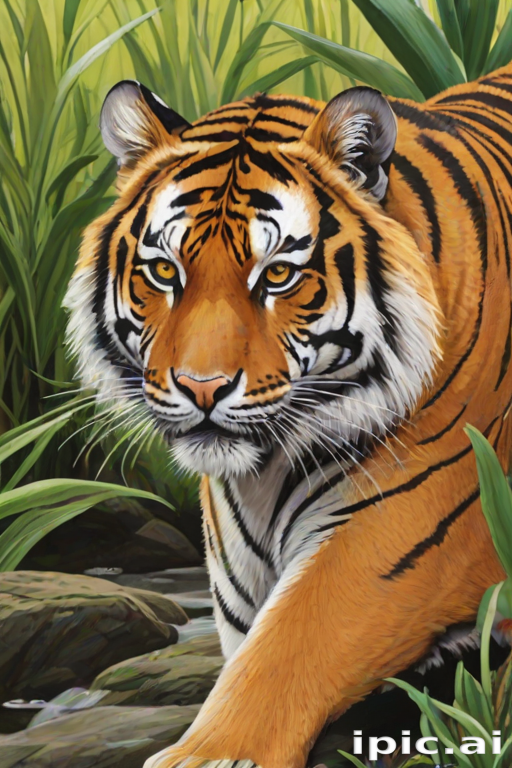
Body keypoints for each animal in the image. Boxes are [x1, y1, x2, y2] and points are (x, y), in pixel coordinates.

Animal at [65, 62, 512, 768]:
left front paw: (210, 753)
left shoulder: (402, 537)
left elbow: (289, 649)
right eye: (163, 270)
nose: (202, 388)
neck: (262, 476)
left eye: (276, 276)